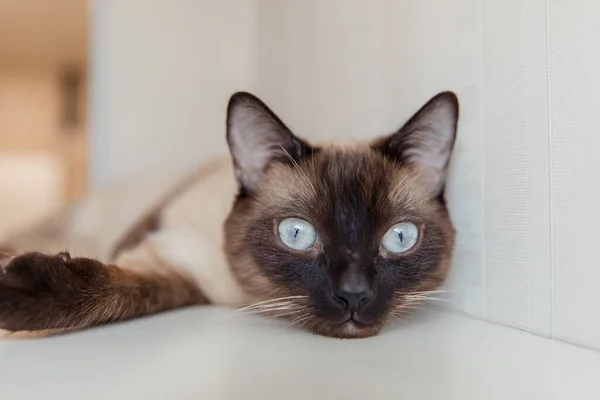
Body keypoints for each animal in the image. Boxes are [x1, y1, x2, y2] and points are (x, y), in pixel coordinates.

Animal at [0, 90, 454, 338]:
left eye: (399, 238)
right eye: (297, 234)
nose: (354, 294)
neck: (235, 291)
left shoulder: (180, 279)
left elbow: (126, 295)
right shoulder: (161, 247)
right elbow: (108, 286)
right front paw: (13, 289)